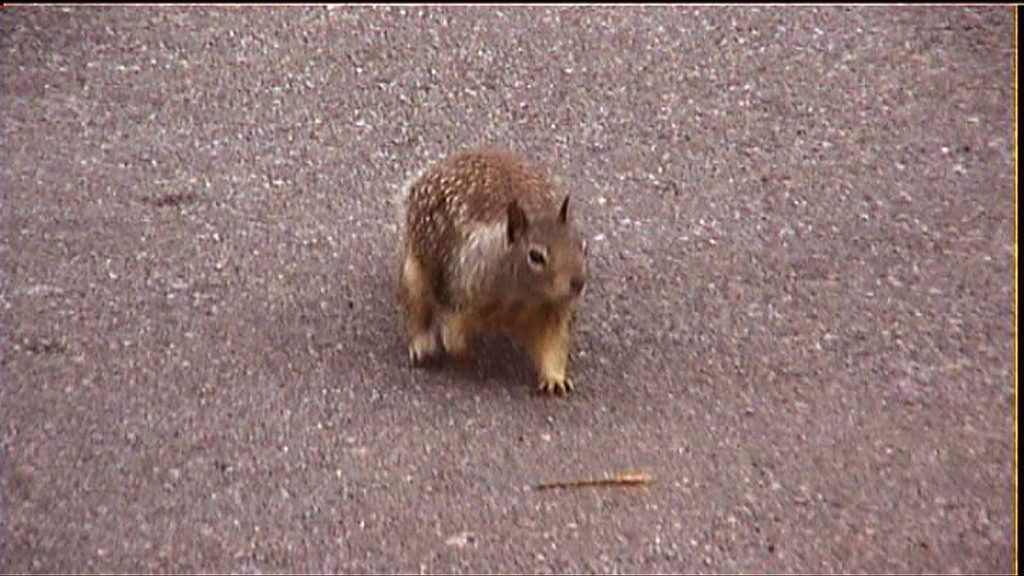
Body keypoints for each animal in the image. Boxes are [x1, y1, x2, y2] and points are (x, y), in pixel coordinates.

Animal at [398, 147, 587, 395]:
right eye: (536, 256)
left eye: (582, 246)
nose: (579, 282)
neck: (522, 297)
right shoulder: (460, 293)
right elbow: (453, 339)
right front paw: (472, 360)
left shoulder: (553, 313)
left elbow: (553, 345)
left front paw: (555, 380)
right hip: (415, 274)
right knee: (419, 310)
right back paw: (423, 347)